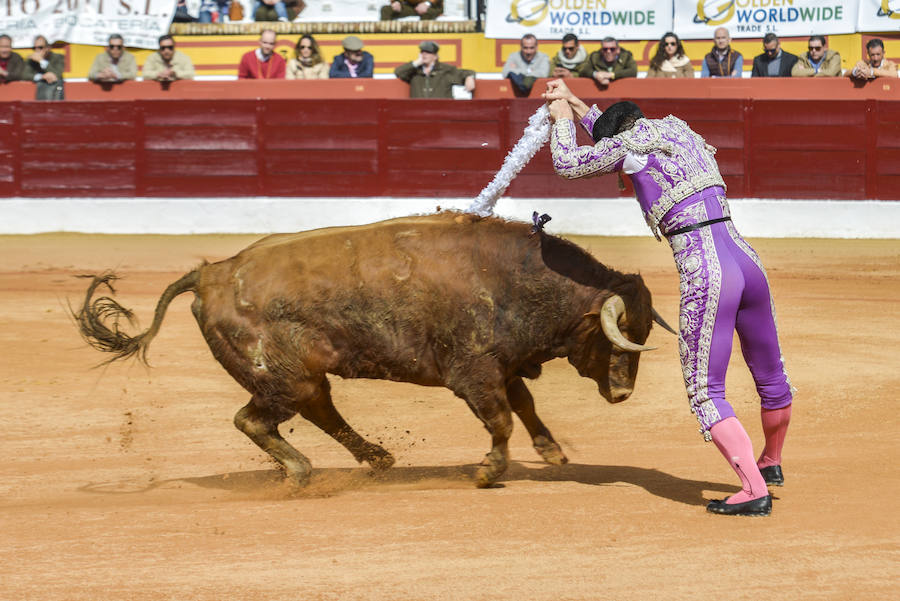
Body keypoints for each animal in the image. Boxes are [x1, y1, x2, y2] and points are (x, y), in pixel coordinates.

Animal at [75, 213, 668, 486]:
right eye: (617, 336)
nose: (623, 393)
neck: (518, 280)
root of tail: (211, 274)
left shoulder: (501, 365)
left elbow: (523, 406)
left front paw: (551, 452)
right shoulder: (474, 372)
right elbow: (500, 418)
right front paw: (488, 472)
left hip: (302, 375)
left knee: (318, 410)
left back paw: (376, 458)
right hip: (280, 377)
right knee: (256, 420)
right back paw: (301, 473)